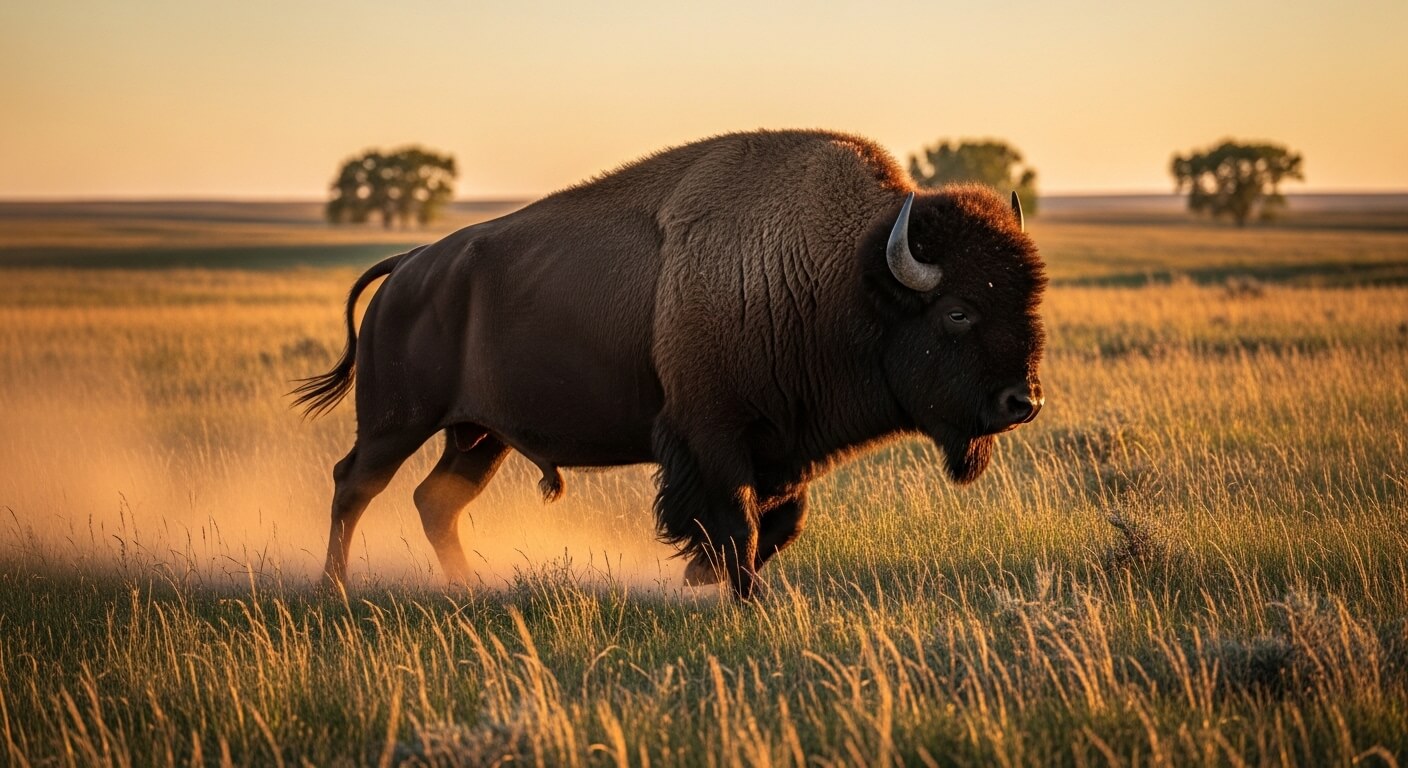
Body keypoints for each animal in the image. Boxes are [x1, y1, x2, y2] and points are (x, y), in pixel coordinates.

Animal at [295, 129, 1047, 599]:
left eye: (1028, 297)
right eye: (957, 312)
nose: (1024, 402)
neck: (841, 276)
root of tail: (407, 267)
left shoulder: (781, 447)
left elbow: (780, 523)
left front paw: (703, 578)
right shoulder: (713, 436)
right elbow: (740, 524)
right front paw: (744, 598)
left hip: (478, 437)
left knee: (434, 500)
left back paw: (464, 588)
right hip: (397, 423)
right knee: (354, 485)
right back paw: (335, 589)